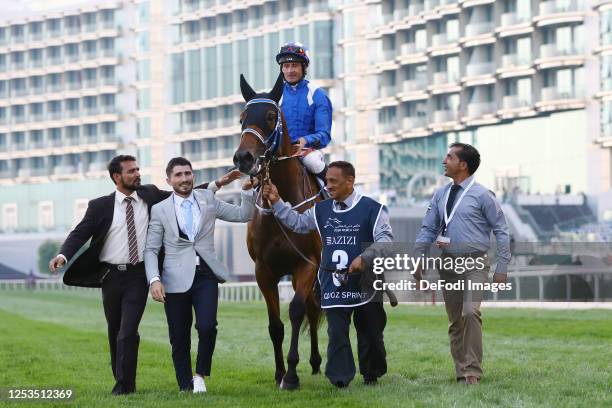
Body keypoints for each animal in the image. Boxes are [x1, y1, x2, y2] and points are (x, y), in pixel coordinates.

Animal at [232, 72, 322, 388]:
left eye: (271, 116)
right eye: (243, 117)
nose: (243, 158)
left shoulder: (307, 265)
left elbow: (295, 312)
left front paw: (292, 374)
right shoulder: (264, 270)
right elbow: (275, 325)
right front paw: (280, 372)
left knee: (312, 307)